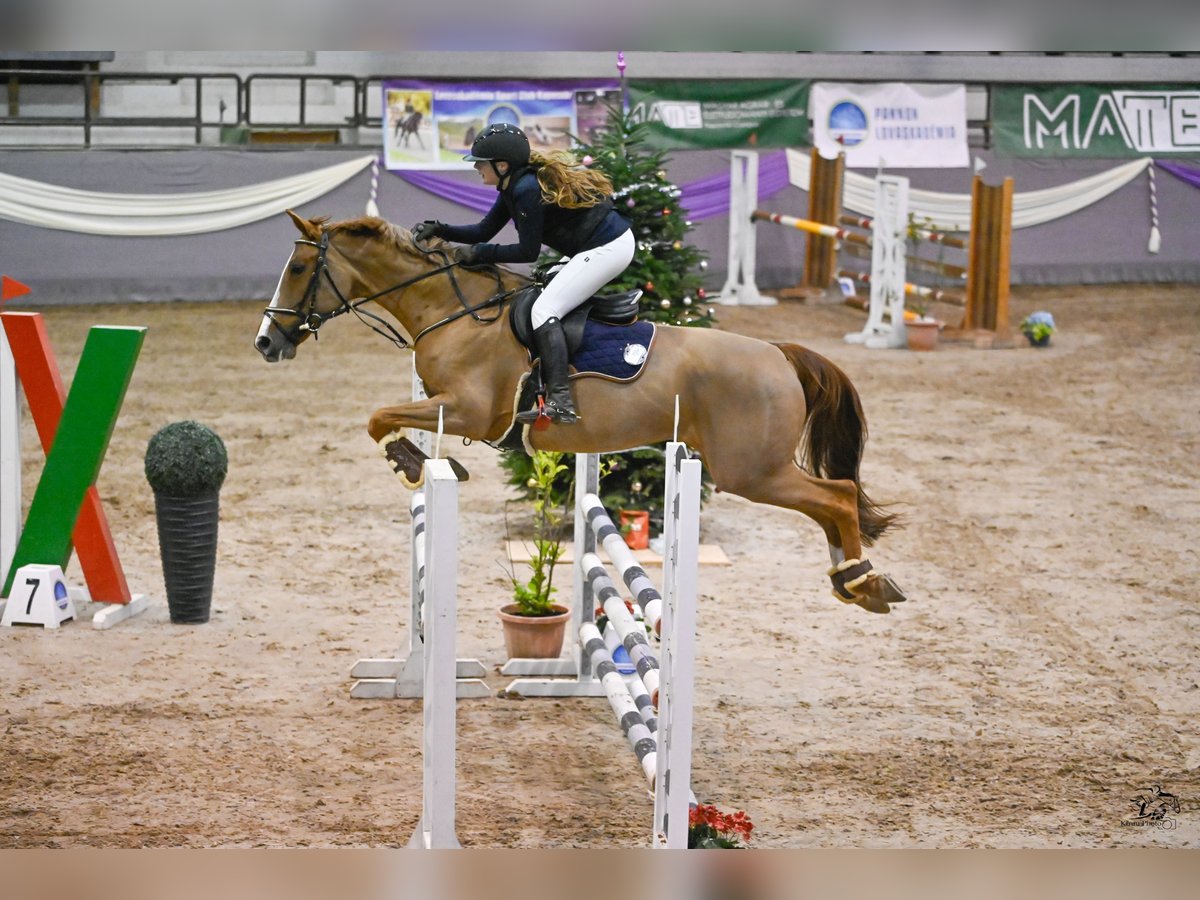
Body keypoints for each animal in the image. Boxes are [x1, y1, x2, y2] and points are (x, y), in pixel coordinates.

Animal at [255, 211, 907, 614]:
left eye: (297, 269)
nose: (266, 343)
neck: (455, 311)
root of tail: (778, 353)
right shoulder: (448, 408)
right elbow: (383, 416)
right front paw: (417, 463)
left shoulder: (470, 413)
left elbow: (379, 417)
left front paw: (412, 465)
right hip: (756, 470)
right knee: (832, 503)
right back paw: (856, 579)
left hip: (751, 471)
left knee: (838, 496)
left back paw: (861, 579)